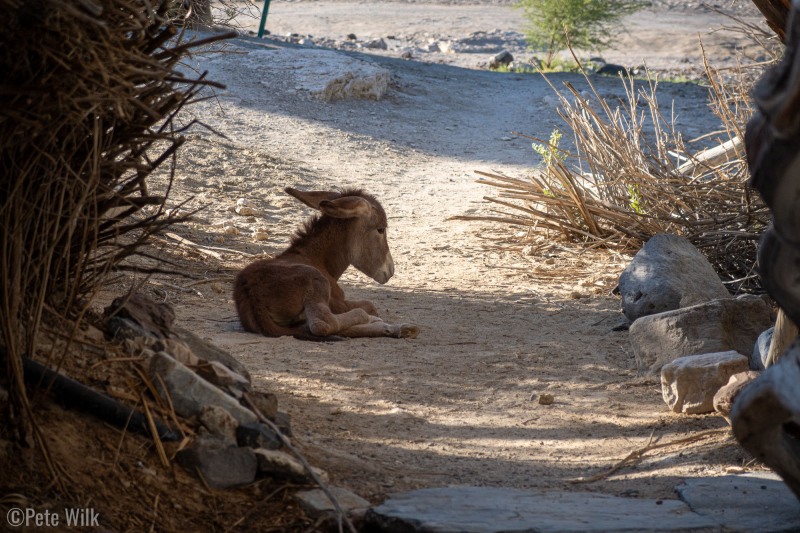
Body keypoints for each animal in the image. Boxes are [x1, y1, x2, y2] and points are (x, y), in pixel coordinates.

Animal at [233, 185, 422, 338]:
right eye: (381, 229)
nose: (390, 270)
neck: (317, 259)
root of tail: (252, 296)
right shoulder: (338, 302)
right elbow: (369, 305)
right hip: (315, 282)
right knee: (323, 324)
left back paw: (403, 329)